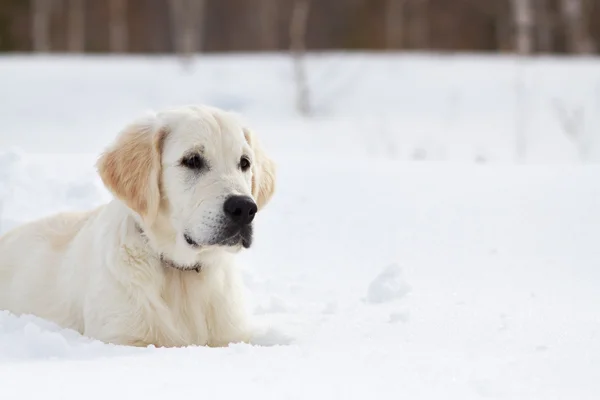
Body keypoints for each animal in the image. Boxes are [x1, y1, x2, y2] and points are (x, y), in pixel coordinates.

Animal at [0, 104, 276, 346]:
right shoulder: (121, 336)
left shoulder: (231, 335)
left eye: (244, 163)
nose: (244, 209)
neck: (180, 274)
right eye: (192, 160)